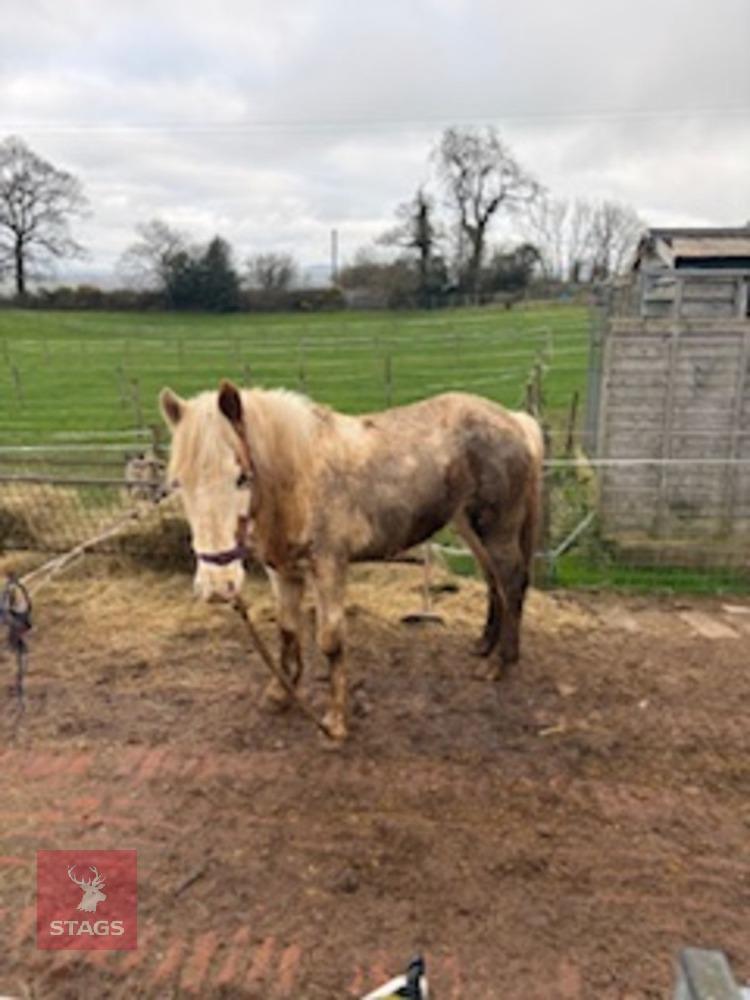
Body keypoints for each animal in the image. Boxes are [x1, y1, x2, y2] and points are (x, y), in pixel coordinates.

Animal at [160, 381, 543, 741]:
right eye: (180, 483)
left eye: (241, 477)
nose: (217, 586)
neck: (300, 479)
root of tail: (515, 422)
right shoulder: (282, 571)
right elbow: (287, 629)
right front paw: (280, 694)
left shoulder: (329, 567)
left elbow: (330, 640)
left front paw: (335, 722)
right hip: (467, 524)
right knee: (493, 580)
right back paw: (484, 645)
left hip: (496, 529)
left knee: (511, 582)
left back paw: (500, 663)